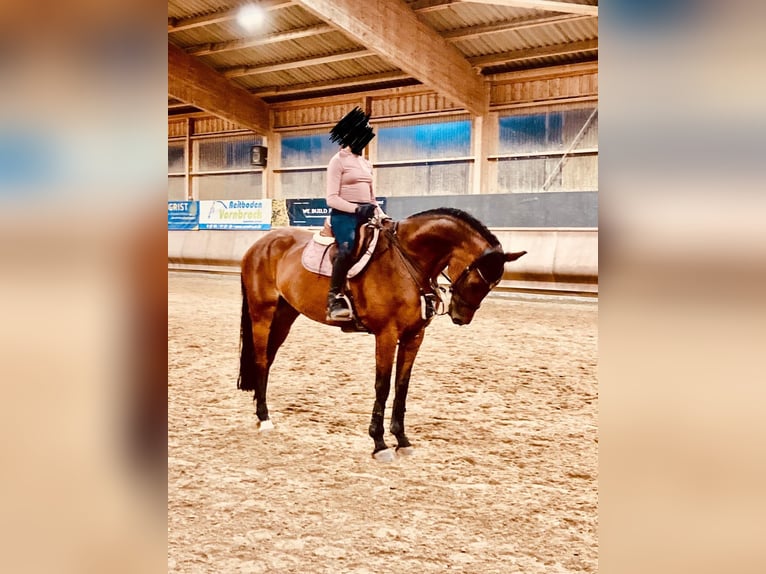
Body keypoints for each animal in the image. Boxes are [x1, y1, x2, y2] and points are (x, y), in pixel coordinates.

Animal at [238, 207, 526, 461]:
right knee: (261, 359)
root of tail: (261, 244)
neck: (407, 261)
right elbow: (383, 386)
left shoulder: (414, 336)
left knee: (268, 360)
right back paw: (264, 419)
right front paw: (379, 444)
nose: (461, 318)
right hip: (262, 314)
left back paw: (261, 413)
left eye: (494, 285)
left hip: (285, 315)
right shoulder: (386, 335)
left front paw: (402, 441)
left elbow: (402, 386)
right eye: (478, 281)